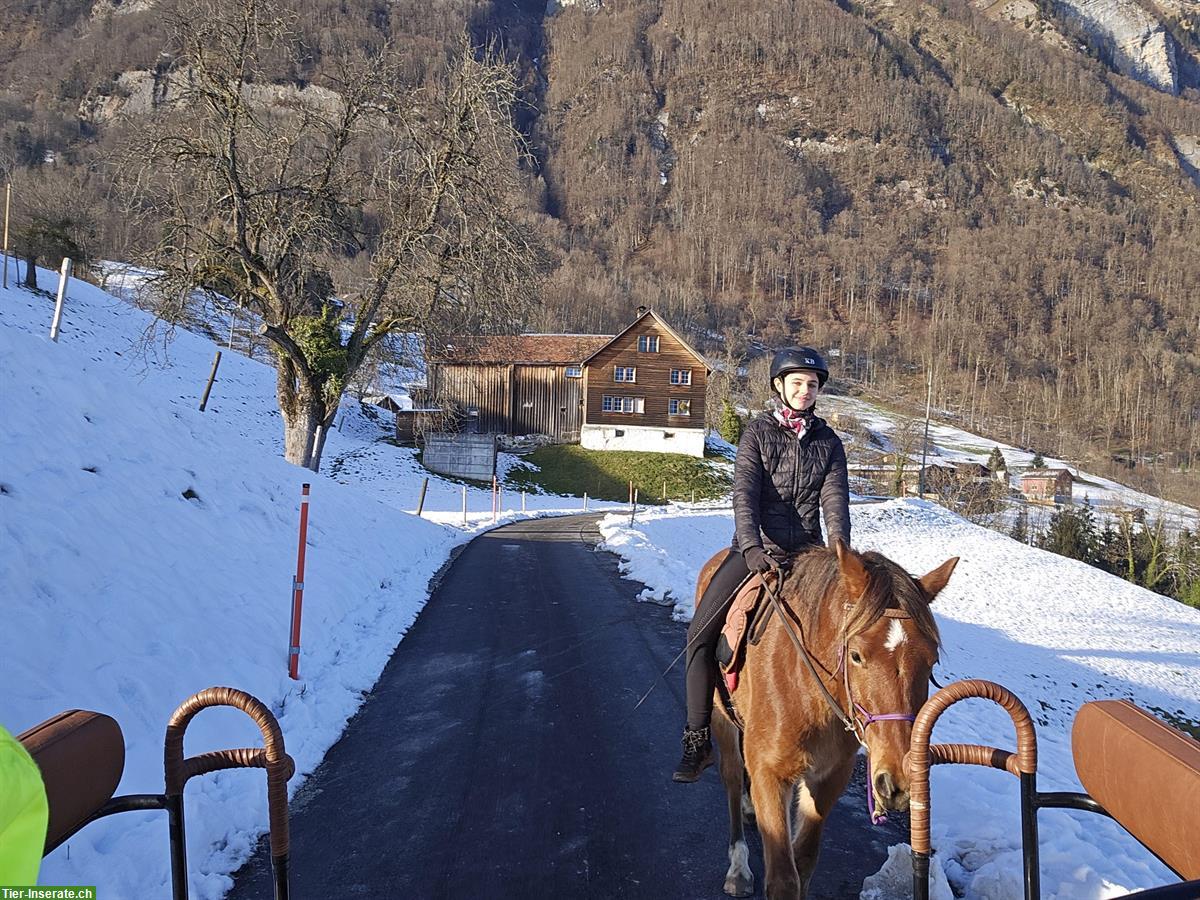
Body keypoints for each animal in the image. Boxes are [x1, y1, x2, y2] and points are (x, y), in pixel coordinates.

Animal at [700, 542, 960, 900]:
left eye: (932, 660)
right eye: (856, 655)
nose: (898, 781)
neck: (808, 690)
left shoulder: (830, 776)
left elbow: (805, 860)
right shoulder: (769, 773)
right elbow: (783, 878)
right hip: (722, 721)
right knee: (731, 779)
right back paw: (738, 867)